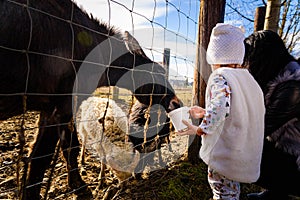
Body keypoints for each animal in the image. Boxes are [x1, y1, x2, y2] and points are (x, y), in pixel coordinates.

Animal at [0, 0, 182, 199]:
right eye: (157, 73)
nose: (177, 103)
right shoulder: (61, 105)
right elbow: (43, 157)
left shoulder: (56, 108)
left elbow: (67, 147)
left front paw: (78, 185)